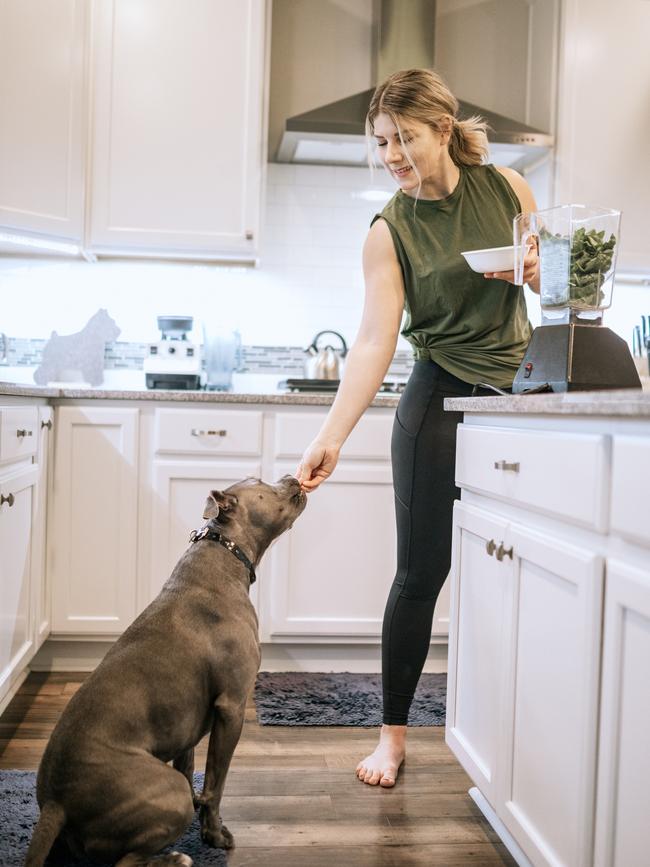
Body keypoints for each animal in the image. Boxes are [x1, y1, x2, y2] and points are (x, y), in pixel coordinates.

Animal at [25, 474, 306, 867]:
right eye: (261, 482)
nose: (292, 476)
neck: (225, 551)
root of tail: (55, 801)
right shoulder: (232, 706)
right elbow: (217, 782)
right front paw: (214, 835)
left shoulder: (185, 728)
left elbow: (191, 770)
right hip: (164, 792)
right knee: (126, 862)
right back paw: (175, 858)